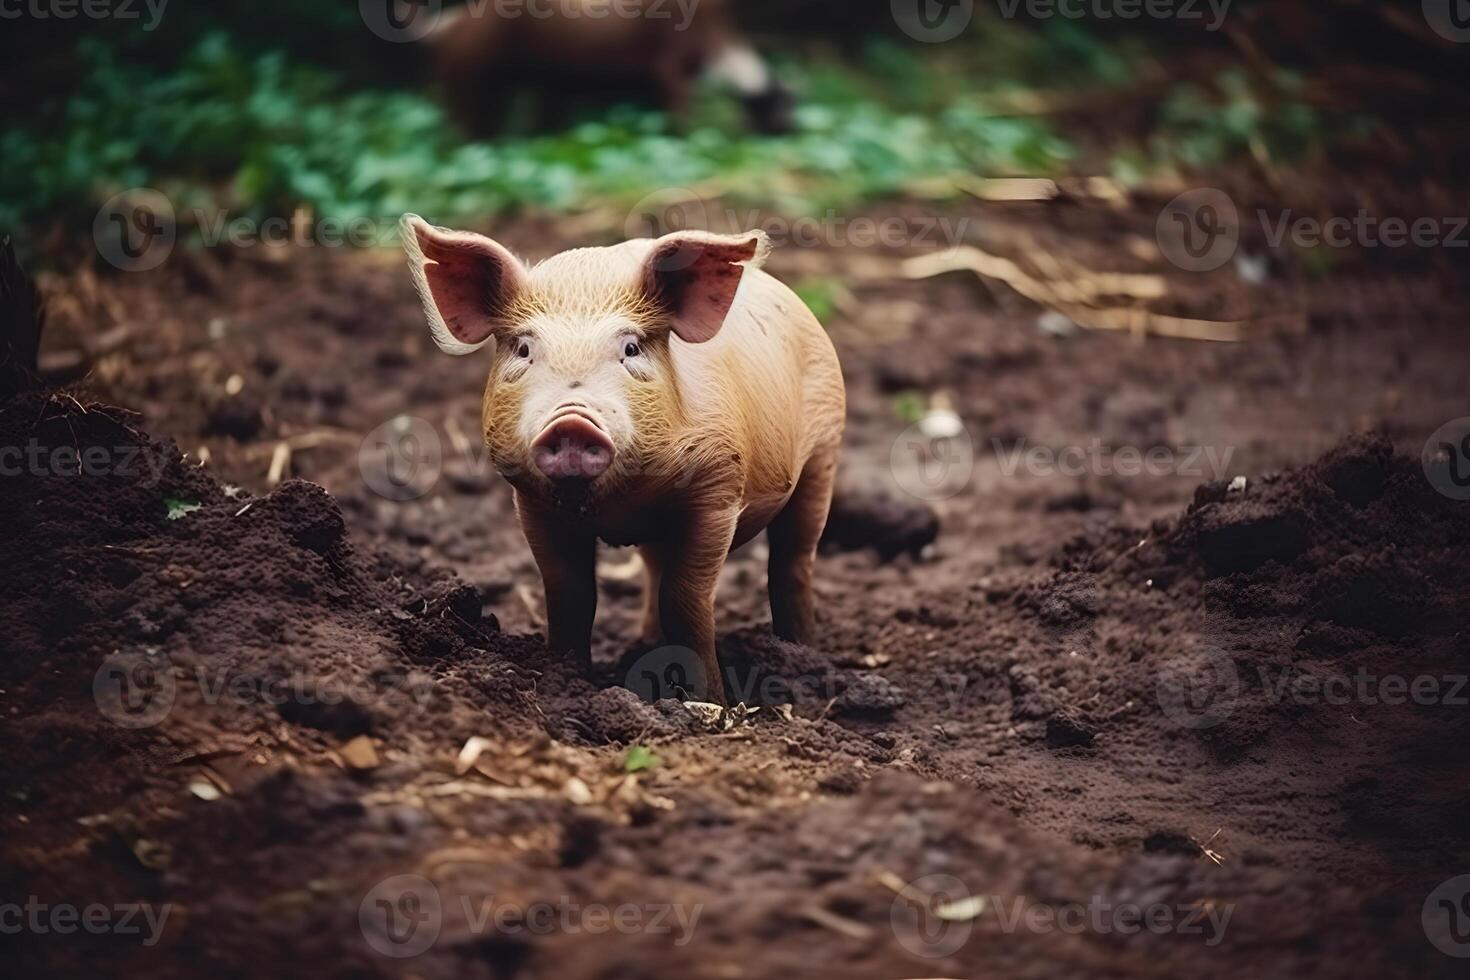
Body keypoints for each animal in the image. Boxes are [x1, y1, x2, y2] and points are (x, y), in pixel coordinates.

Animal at [399, 214, 852, 705]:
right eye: (523, 349)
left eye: (631, 348)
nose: (571, 421)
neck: (621, 502)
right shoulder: (533, 504)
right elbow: (570, 595)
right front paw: (566, 680)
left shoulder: (718, 489)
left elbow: (686, 599)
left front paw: (708, 702)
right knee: (656, 569)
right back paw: (645, 643)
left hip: (824, 450)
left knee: (793, 557)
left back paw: (802, 652)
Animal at [420, 0, 799, 135]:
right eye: (783, 106)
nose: (792, 129)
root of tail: (450, 26)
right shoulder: (666, 68)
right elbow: (677, 113)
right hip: (470, 84)